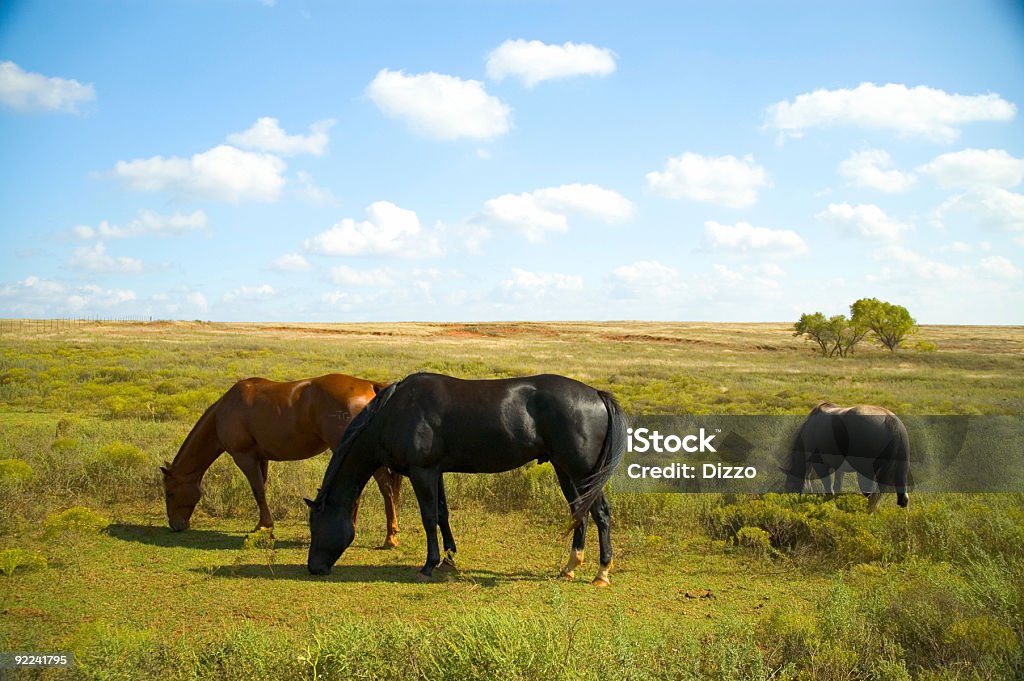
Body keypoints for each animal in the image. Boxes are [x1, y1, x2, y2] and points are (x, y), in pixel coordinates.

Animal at [160, 372, 403, 548]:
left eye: (169, 493)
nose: (175, 525)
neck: (224, 410)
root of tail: (370, 386)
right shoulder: (261, 458)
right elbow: (263, 488)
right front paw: (261, 524)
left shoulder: (244, 457)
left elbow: (257, 489)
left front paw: (265, 527)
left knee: (386, 488)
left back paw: (390, 538)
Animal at [303, 372, 626, 585]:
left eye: (315, 527)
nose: (313, 568)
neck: (396, 411)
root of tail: (597, 395)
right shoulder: (436, 472)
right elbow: (442, 514)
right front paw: (449, 558)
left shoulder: (422, 472)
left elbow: (428, 517)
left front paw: (429, 565)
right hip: (564, 470)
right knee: (580, 512)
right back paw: (570, 567)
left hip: (582, 472)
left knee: (600, 513)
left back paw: (601, 573)